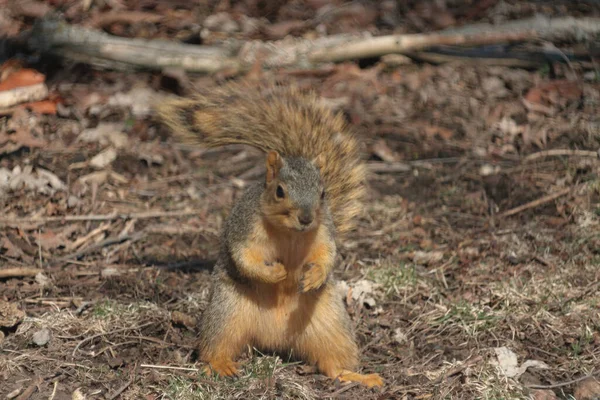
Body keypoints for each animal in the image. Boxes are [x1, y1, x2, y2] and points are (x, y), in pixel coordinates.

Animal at [158, 83, 384, 388]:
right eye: (279, 191)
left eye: (323, 193)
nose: (306, 218)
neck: (288, 232)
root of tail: (274, 338)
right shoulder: (244, 228)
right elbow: (243, 257)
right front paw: (275, 272)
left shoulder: (324, 231)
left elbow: (327, 255)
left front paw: (313, 275)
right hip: (228, 312)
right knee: (216, 345)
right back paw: (220, 365)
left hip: (329, 322)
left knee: (333, 362)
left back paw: (358, 376)